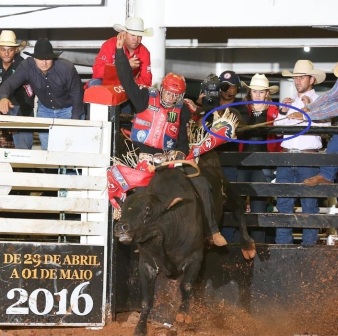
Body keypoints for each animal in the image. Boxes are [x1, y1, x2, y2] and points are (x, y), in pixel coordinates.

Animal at [114, 152, 256, 336]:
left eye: (148, 210)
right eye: (123, 208)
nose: (121, 227)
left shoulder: (194, 258)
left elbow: (186, 285)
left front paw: (183, 314)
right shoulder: (146, 264)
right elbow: (146, 300)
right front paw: (140, 328)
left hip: (227, 191)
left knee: (238, 207)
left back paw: (247, 247)